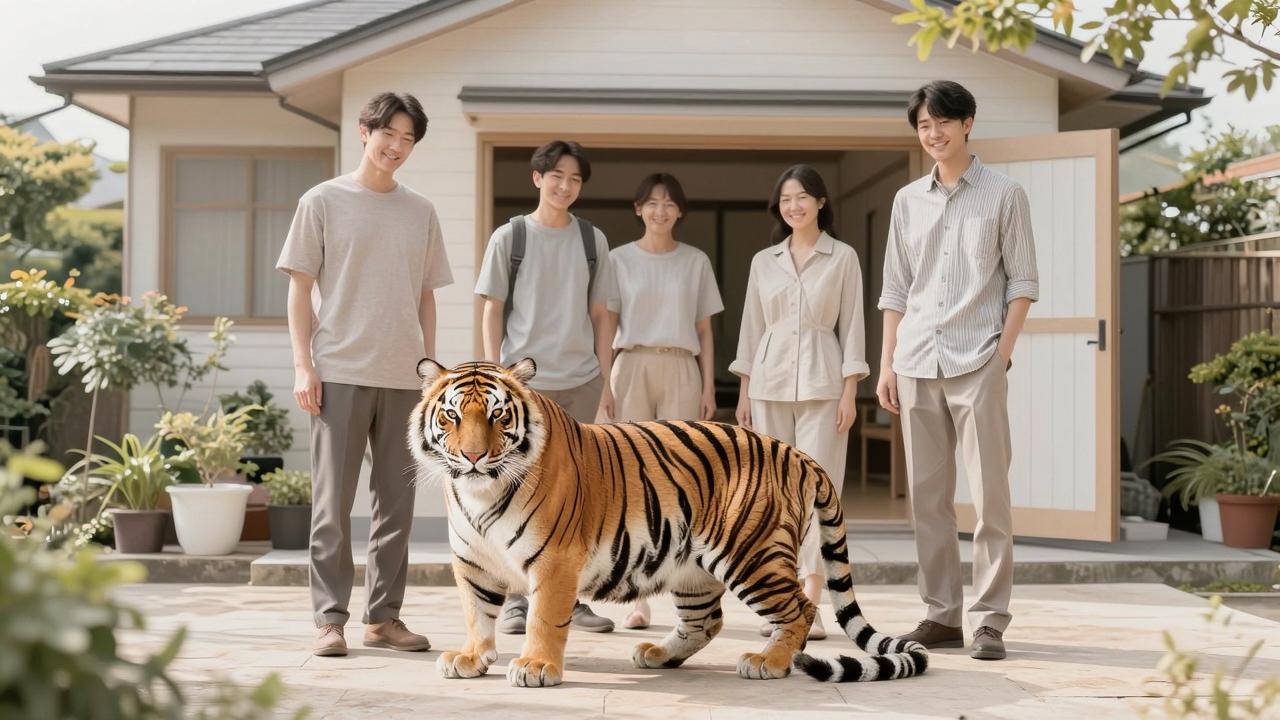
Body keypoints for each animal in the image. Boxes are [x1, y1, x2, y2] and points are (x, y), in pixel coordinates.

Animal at [408, 358, 928, 687]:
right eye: (451, 416)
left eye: (498, 415)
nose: (473, 457)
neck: (480, 494)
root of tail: (795, 452)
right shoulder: (473, 562)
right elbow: (476, 613)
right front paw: (470, 658)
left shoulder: (555, 562)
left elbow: (544, 618)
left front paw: (536, 667)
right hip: (692, 568)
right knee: (708, 620)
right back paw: (658, 655)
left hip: (751, 554)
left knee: (799, 606)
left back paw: (769, 662)